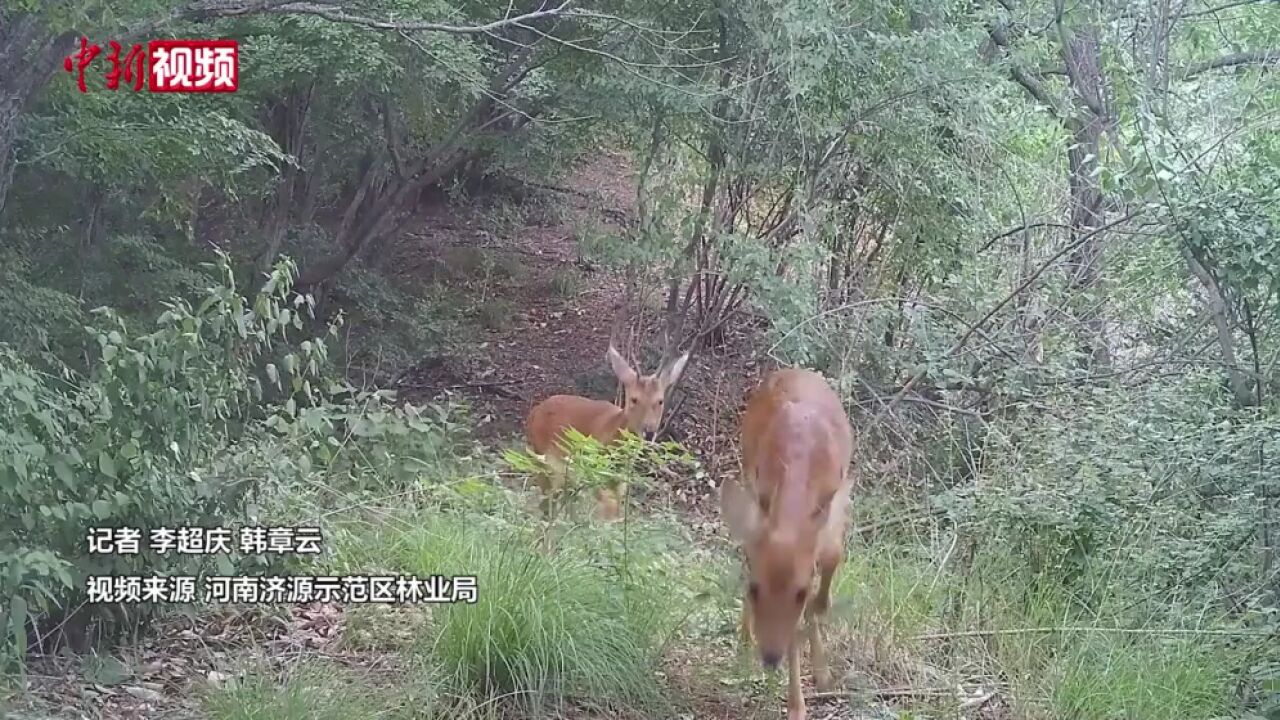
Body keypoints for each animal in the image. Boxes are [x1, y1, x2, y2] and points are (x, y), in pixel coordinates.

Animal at [522, 338, 691, 517]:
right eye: (634, 399)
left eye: (660, 401)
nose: (649, 431)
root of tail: (534, 412)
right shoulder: (596, 474)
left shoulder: (619, 483)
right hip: (543, 459)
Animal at [721, 366, 849, 717]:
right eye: (754, 588)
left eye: (800, 593)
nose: (769, 657)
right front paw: (797, 707)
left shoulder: (834, 501)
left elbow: (831, 557)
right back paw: (744, 642)